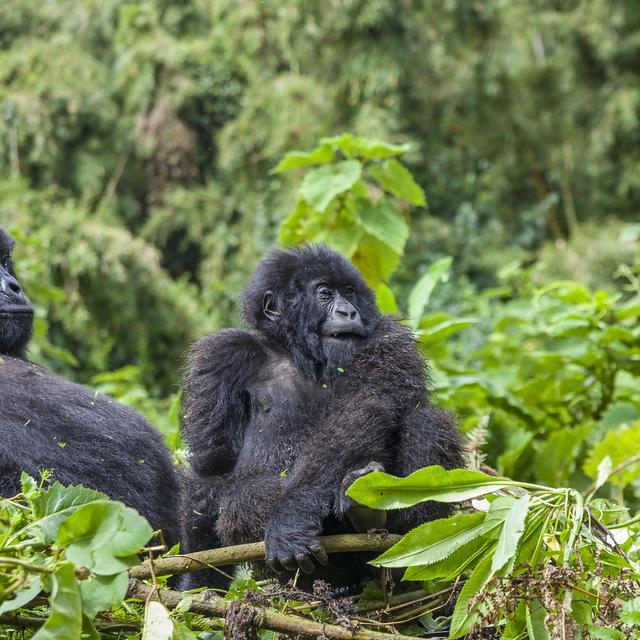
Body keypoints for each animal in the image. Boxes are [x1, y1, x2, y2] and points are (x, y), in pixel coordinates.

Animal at [181, 246, 464, 592]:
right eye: (325, 293)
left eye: (350, 293)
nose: (348, 312)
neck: (296, 352)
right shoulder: (222, 356)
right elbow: (212, 465)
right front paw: (196, 583)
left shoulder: (388, 337)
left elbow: (366, 403)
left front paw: (291, 515)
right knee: (237, 496)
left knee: (424, 422)